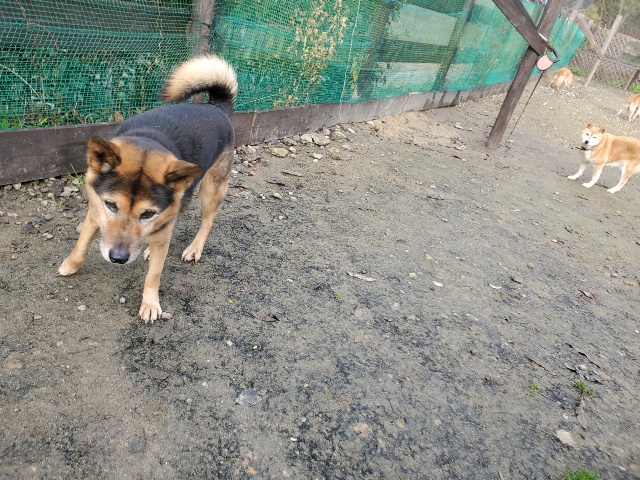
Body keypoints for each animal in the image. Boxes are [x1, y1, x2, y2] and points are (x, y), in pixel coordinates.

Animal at [58, 54, 238, 322]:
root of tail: (218, 107)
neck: (149, 141)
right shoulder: (95, 213)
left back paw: (193, 248)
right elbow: (81, 246)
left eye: (147, 214)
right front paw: (70, 265)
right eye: (111, 205)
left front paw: (150, 303)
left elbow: (154, 275)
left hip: (211, 189)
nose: (118, 259)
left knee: (206, 220)